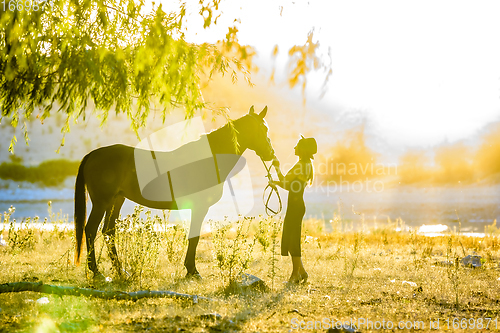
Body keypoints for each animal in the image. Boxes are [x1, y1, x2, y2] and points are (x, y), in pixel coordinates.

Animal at [73, 105, 274, 278]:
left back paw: (120, 271)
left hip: (116, 200)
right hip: (102, 202)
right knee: (90, 230)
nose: (271, 154)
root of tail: (92, 154)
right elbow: (195, 237)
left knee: (108, 231)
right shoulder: (199, 207)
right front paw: (192, 271)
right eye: (263, 130)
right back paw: (96, 271)